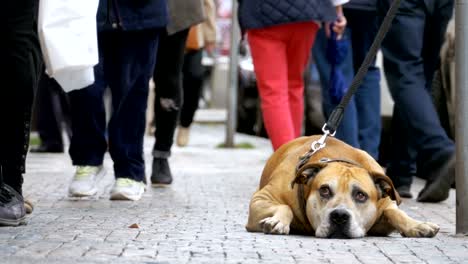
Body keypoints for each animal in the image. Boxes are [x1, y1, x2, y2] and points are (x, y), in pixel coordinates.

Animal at [247, 135, 440, 238]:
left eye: (361, 195)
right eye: (324, 190)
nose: (339, 216)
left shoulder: (386, 204)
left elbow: (395, 213)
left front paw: (417, 226)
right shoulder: (260, 199)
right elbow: (284, 206)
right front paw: (277, 221)